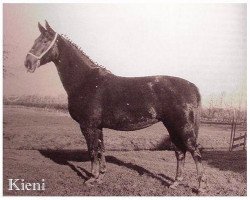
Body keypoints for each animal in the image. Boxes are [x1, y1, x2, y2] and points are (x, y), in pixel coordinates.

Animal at [24, 21, 206, 192]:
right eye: (35, 40)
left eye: (45, 41)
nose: (28, 63)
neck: (85, 81)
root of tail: (191, 86)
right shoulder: (98, 127)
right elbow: (100, 150)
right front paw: (100, 177)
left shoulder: (88, 126)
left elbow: (92, 151)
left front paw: (91, 179)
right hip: (172, 127)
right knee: (180, 152)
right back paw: (175, 183)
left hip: (183, 127)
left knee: (195, 152)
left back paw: (200, 187)